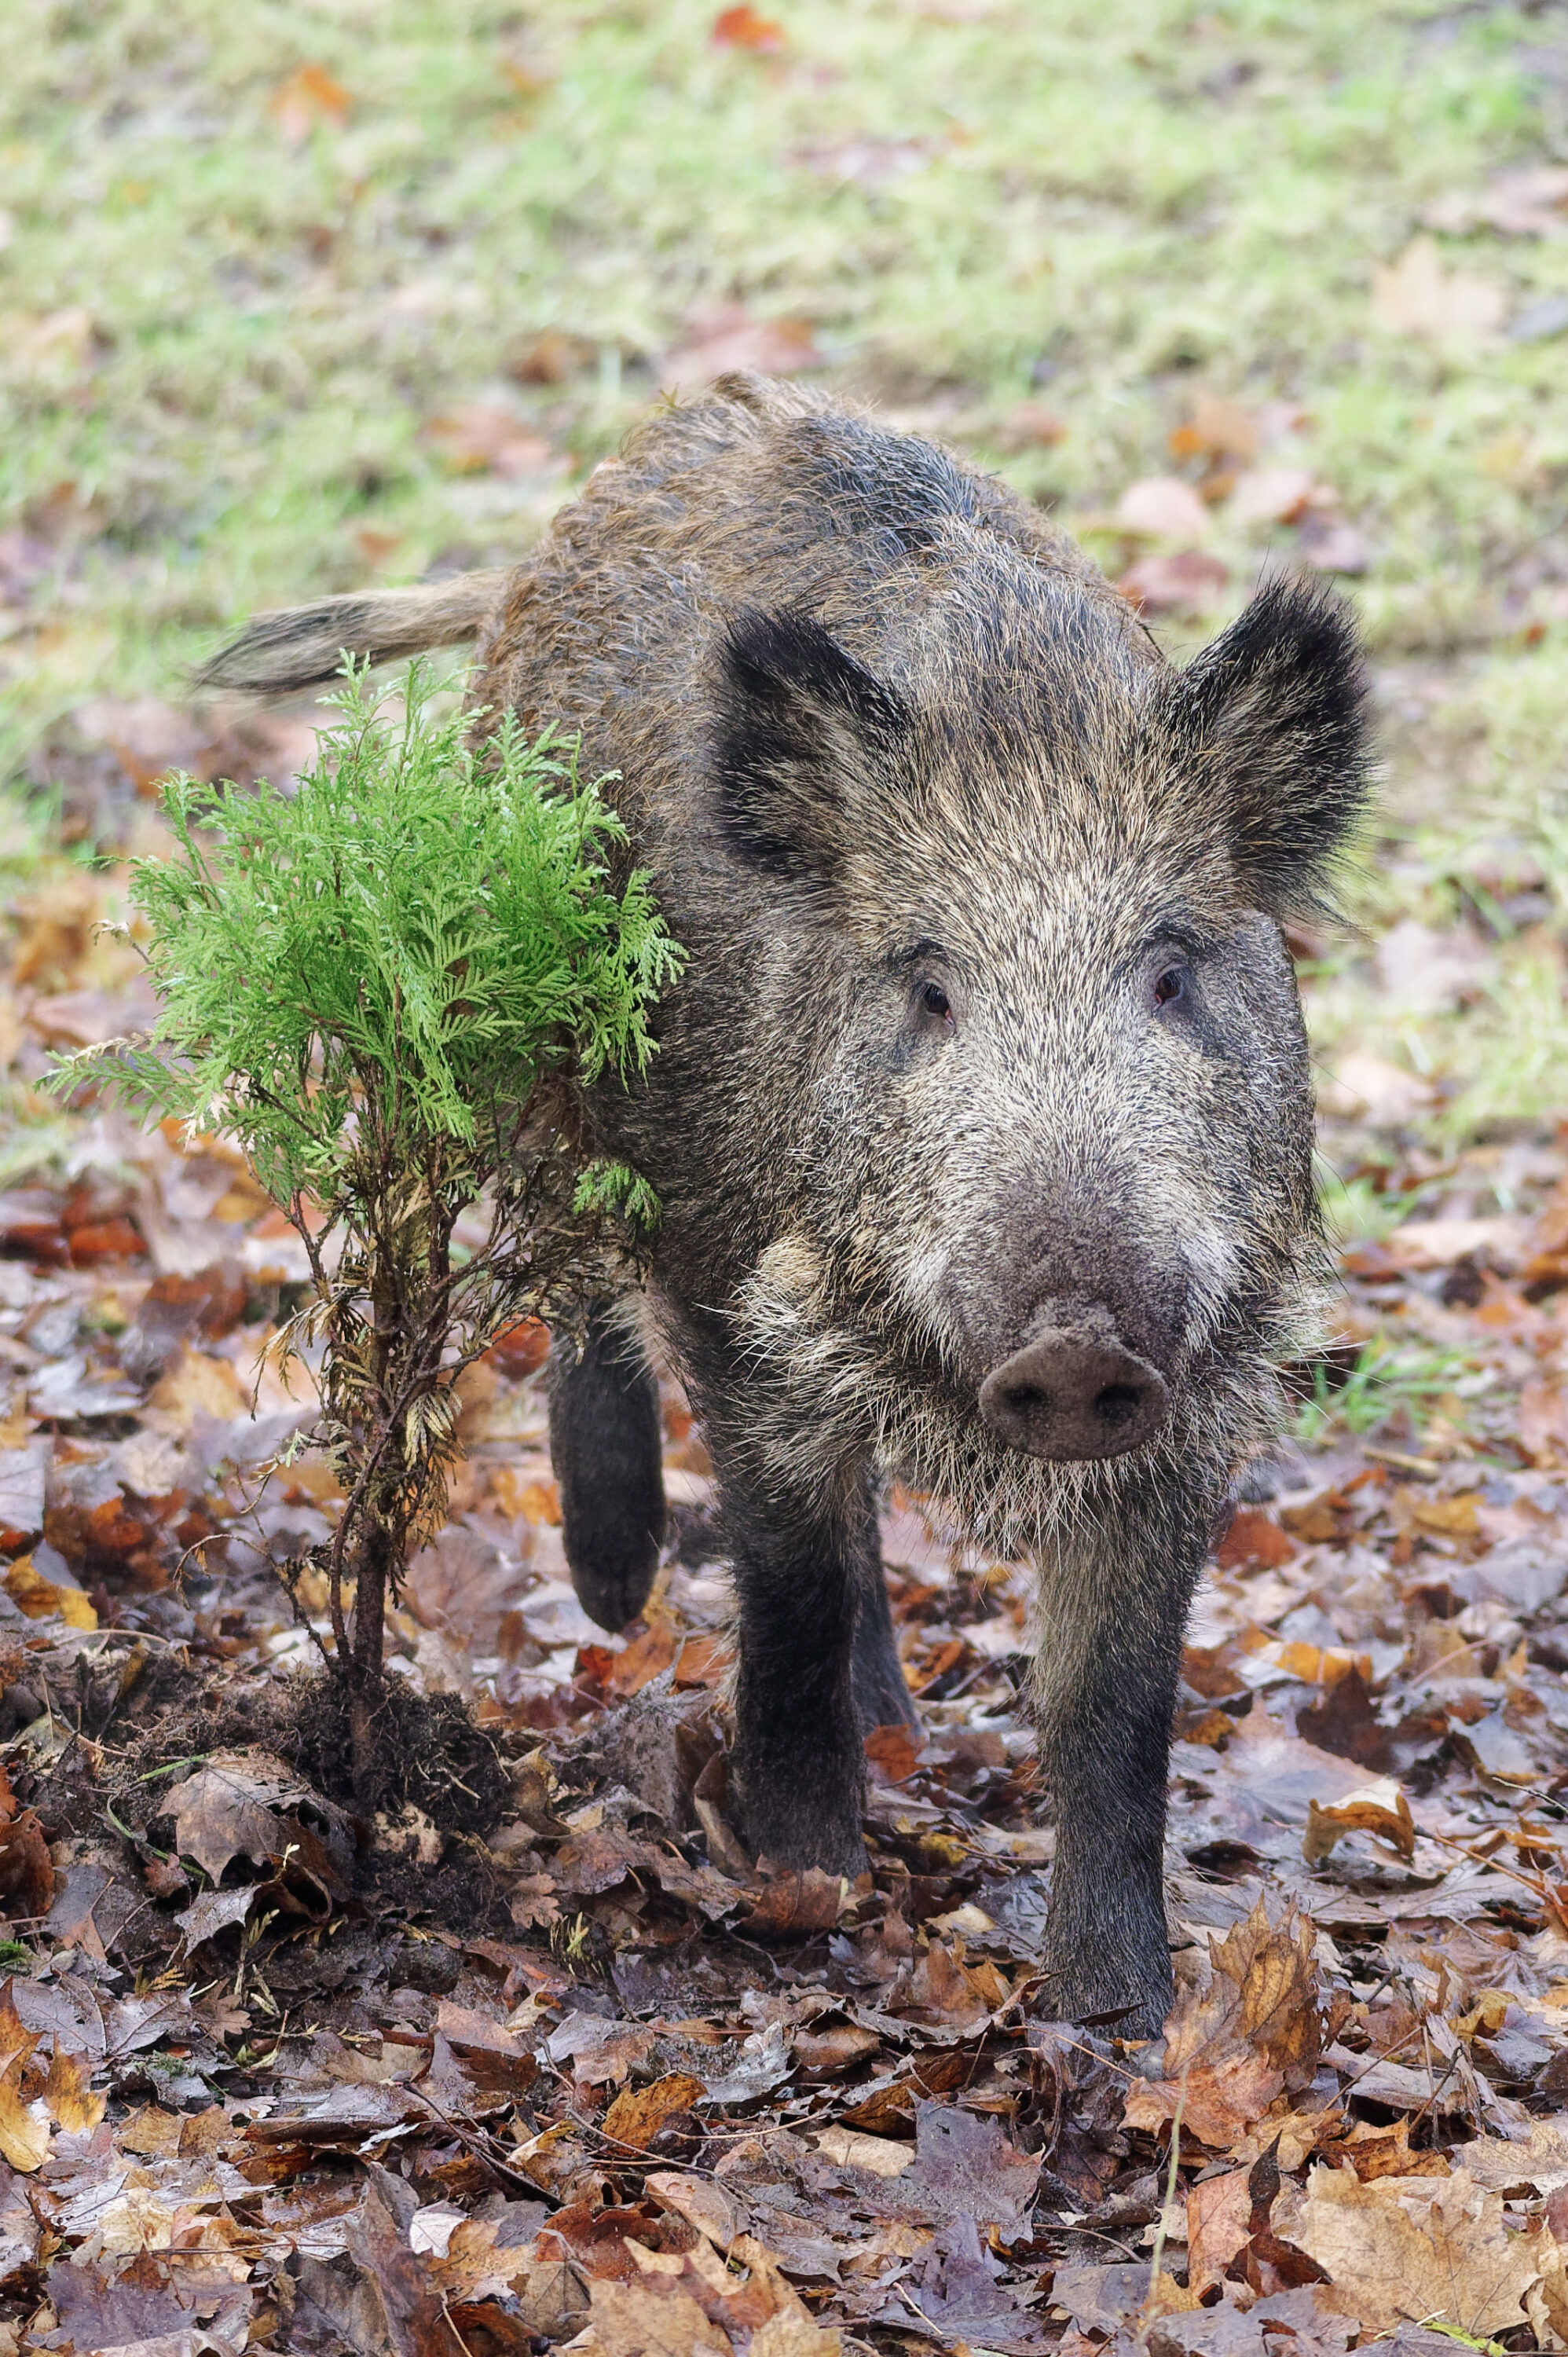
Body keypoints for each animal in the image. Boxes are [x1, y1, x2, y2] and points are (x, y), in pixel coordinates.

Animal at [200, 373, 1368, 2031]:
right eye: (928, 989)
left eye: (1170, 974)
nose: (1074, 1339)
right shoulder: (735, 1289)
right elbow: (791, 1574)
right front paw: (804, 1879)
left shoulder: (1200, 1384)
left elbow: (1115, 1705)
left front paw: (1119, 2021)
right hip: (540, 1054)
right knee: (572, 1275)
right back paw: (614, 1596)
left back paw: (888, 1713)